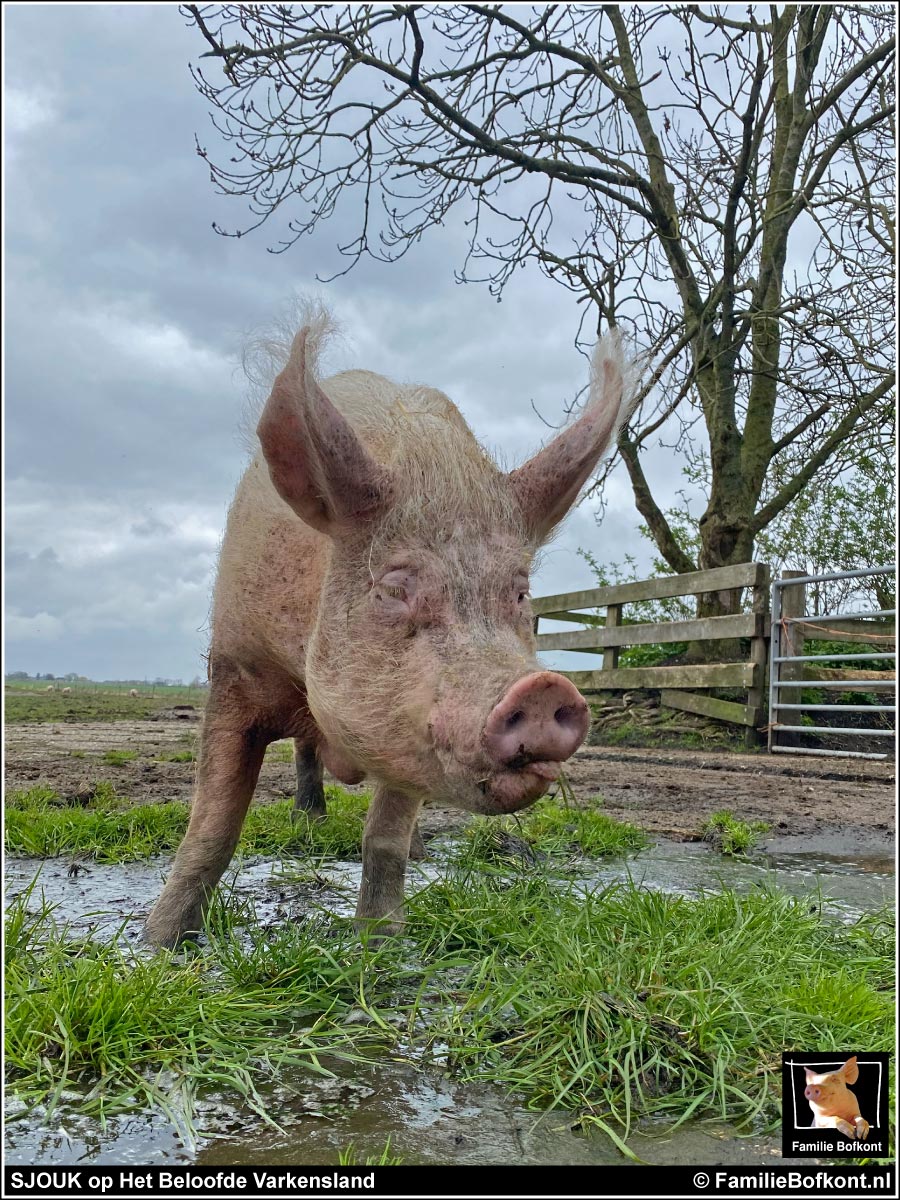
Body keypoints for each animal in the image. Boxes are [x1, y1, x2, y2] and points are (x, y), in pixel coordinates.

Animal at [144, 307, 633, 945]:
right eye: (394, 588)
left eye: (521, 593)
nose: (543, 688)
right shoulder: (233, 669)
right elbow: (213, 825)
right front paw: (159, 944)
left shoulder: (405, 726)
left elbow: (384, 836)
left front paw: (383, 941)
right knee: (302, 757)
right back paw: (308, 818)